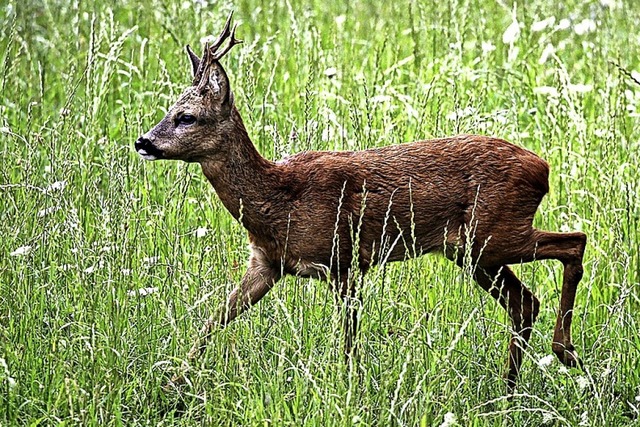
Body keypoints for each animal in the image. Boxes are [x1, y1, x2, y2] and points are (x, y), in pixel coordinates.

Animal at [135, 15, 584, 392]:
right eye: (168, 110)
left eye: (187, 116)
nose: (143, 142)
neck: (278, 201)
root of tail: (543, 168)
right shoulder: (266, 264)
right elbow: (212, 322)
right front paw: (171, 384)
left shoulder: (342, 259)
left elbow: (348, 339)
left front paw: (350, 387)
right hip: (470, 251)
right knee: (525, 302)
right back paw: (507, 389)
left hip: (492, 234)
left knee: (574, 242)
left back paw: (563, 353)